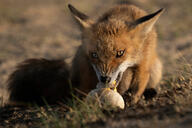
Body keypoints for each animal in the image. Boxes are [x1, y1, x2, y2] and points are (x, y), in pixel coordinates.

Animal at [7, 3, 164, 105]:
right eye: (94, 54)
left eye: (120, 53)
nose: (105, 78)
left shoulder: (145, 61)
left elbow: (140, 82)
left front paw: (132, 98)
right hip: (81, 61)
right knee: (78, 91)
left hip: (157, 67)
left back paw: (149, 92)